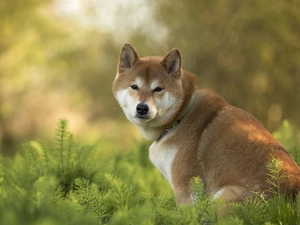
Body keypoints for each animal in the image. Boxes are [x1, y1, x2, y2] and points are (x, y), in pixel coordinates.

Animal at [112, 42, 300, 204]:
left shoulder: (185, 188)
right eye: (134, 86)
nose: (142, 108)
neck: (180, 117)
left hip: (223, 196)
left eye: (158, 89)